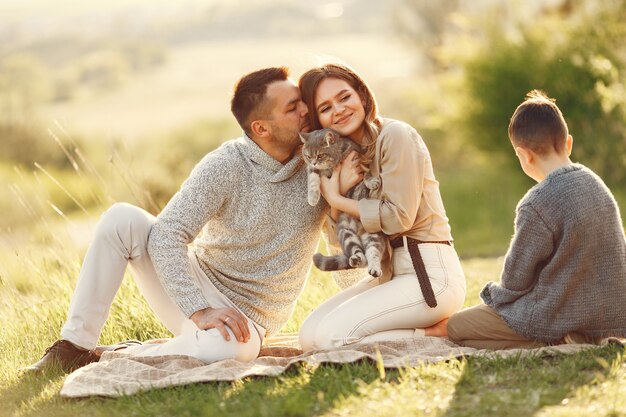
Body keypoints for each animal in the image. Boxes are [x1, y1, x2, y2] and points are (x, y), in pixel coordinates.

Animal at [298, 127, 386, 276]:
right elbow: (313, 180)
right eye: (309, 156)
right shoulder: (313, 169)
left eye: (320, 155)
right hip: (346, 233)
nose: (314, 162)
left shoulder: (358, 157)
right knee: (359, 254)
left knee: (373, 252)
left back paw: (374, 268)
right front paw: (313, 198)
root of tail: (358, 230)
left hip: (373, 233)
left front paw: (371, 181)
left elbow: (366, 172)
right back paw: (356, 259)